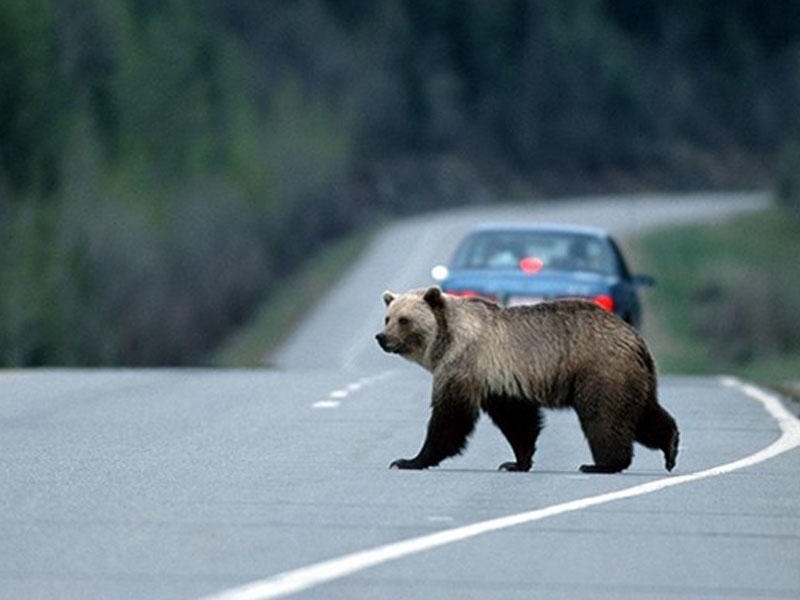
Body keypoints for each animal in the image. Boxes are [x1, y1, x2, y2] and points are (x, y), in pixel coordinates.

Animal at [378, 286, 680, 474]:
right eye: (387, 318)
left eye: (404, 320)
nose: (381, 338)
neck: (445, 340)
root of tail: (635, 338)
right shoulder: (498, 380)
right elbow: (517, 421)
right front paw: (515, 462)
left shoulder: (465, 363)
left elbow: (451, 417)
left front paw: (409, 459)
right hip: (631, 375)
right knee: (643, 414)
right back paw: (670, 446)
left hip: (600, 370)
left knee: (604, 416)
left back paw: (601, 464)